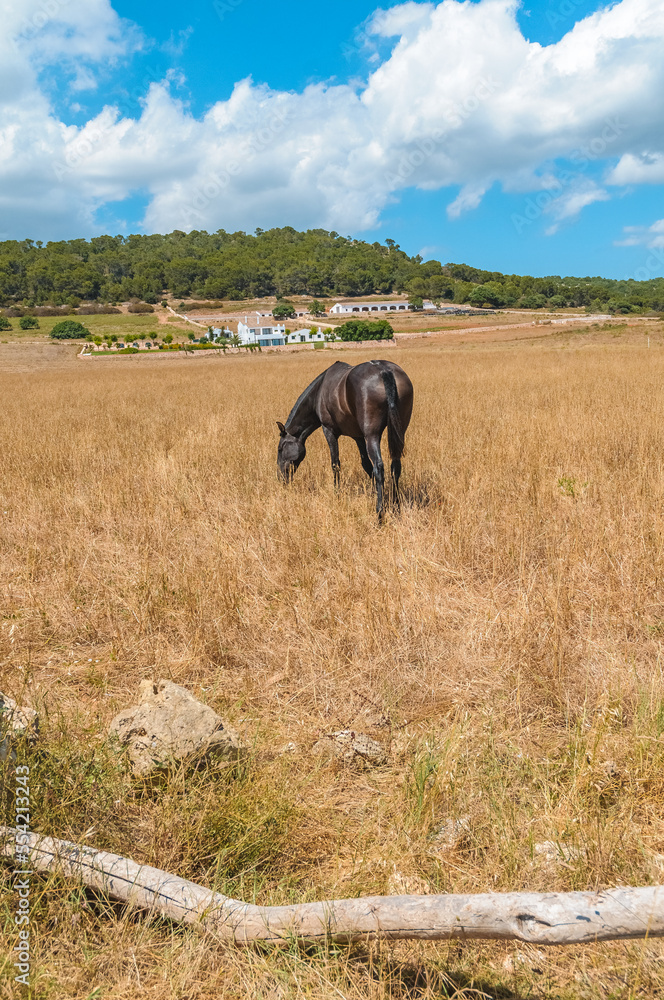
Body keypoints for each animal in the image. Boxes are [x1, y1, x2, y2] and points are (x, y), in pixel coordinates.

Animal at [276, 359, 413, 517]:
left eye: (280, 449)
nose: (280, 478)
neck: (319, 391)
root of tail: (384, 370)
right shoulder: (358, 437)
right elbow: (366, 465)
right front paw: (375, 492)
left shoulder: (329, 431)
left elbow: (335, 464)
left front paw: (337, 493)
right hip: (398, 432)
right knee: (395, 466)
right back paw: (396, 505)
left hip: (372, 435)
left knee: (379, 466)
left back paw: (379, 512)